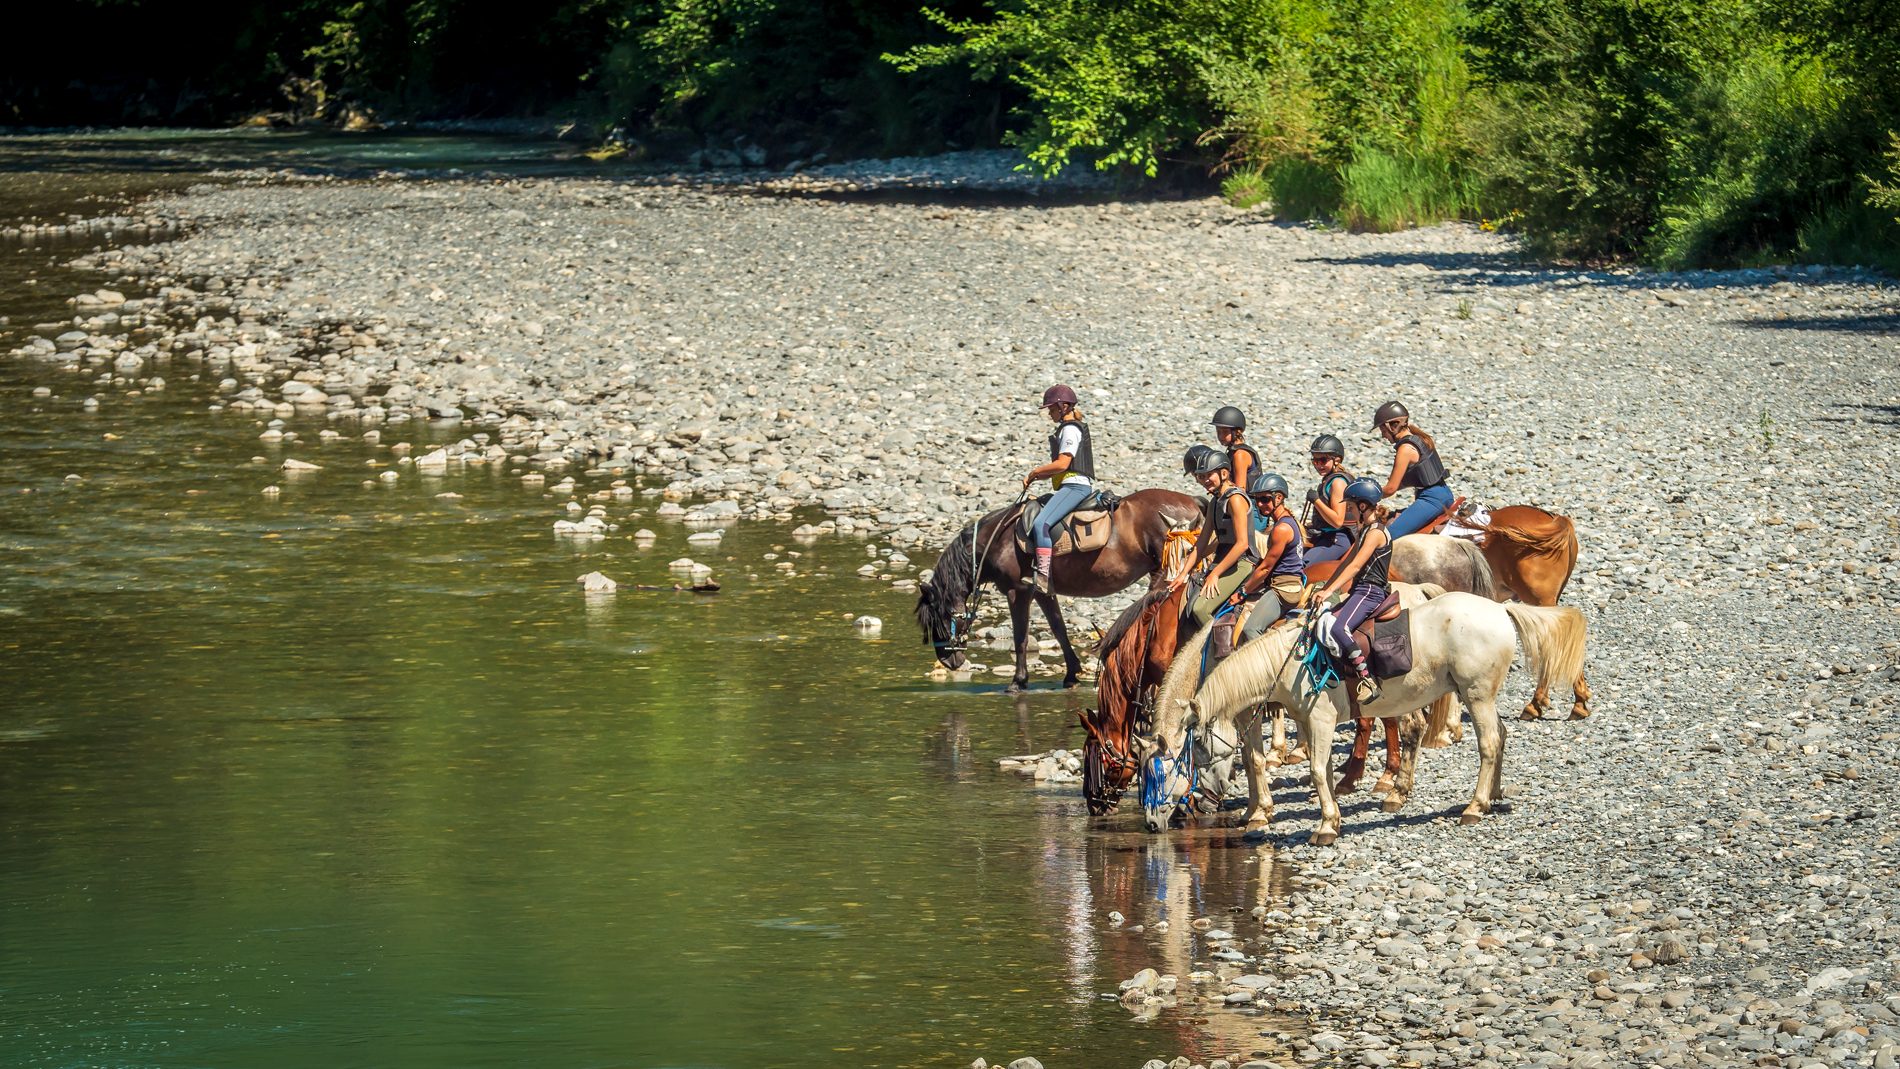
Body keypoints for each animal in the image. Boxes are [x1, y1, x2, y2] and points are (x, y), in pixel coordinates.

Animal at [912, 486, 1193, 691]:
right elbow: (1058, 628)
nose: (948, 661)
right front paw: (1072, 672)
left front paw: (1018, 681)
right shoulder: (1041, 591)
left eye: (940, 619)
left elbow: (1020, 637)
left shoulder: (1017, 592)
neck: (997, 540)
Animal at [1140, 592, 1588, 846]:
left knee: (1488, 742)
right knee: (1500, 734)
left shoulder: (1312, 719)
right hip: (1479, 695)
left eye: (1162, 770)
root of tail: (1501, 608)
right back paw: (1489, 796)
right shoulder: (1307, 720)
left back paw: (1474, 806)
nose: (1151, 823)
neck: (1285, 659)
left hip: (1476, 694)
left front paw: (1317, 824)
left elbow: (1296, 767)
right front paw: (1320, 814)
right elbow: (1310, 767)